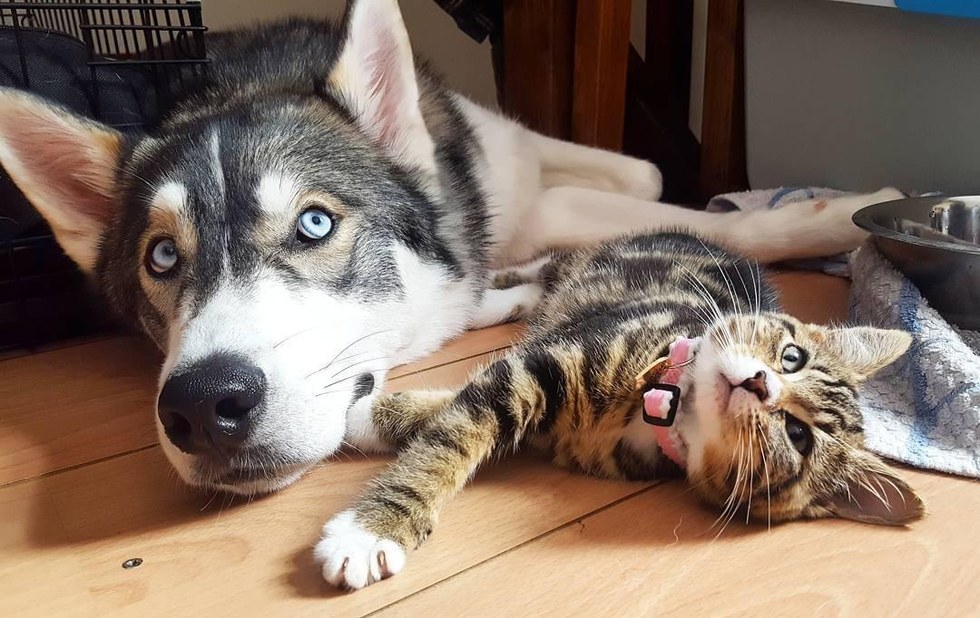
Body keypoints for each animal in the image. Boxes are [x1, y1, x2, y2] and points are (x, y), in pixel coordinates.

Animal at [0, 0, 896, 544]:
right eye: (161, 256)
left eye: (315, 222)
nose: (201, 405)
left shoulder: (510, 161)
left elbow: (646, 175)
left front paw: (847, 209)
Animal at [318, 230, 924, 588]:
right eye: (792, 356)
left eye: (798, 436)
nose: (759, 382)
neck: (667, 407)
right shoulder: (551, 359)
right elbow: (456, 434)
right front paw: (370, 530)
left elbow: (457, 413)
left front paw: (366, 420)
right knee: (544, 266)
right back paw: (478, 297)